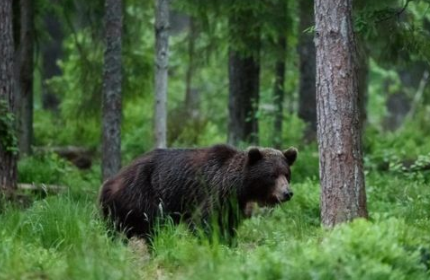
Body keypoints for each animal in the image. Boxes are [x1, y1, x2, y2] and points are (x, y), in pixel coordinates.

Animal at [99, 144, 298, 243]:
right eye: (272, 175)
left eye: (286, 174)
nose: (287, 193)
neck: (239, 189)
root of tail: (108, 183)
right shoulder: (212, 193)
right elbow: (204, 222)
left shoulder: (233, 206)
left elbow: (229, 225)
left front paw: (230, 243)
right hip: (143, 196)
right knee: (151, 227)